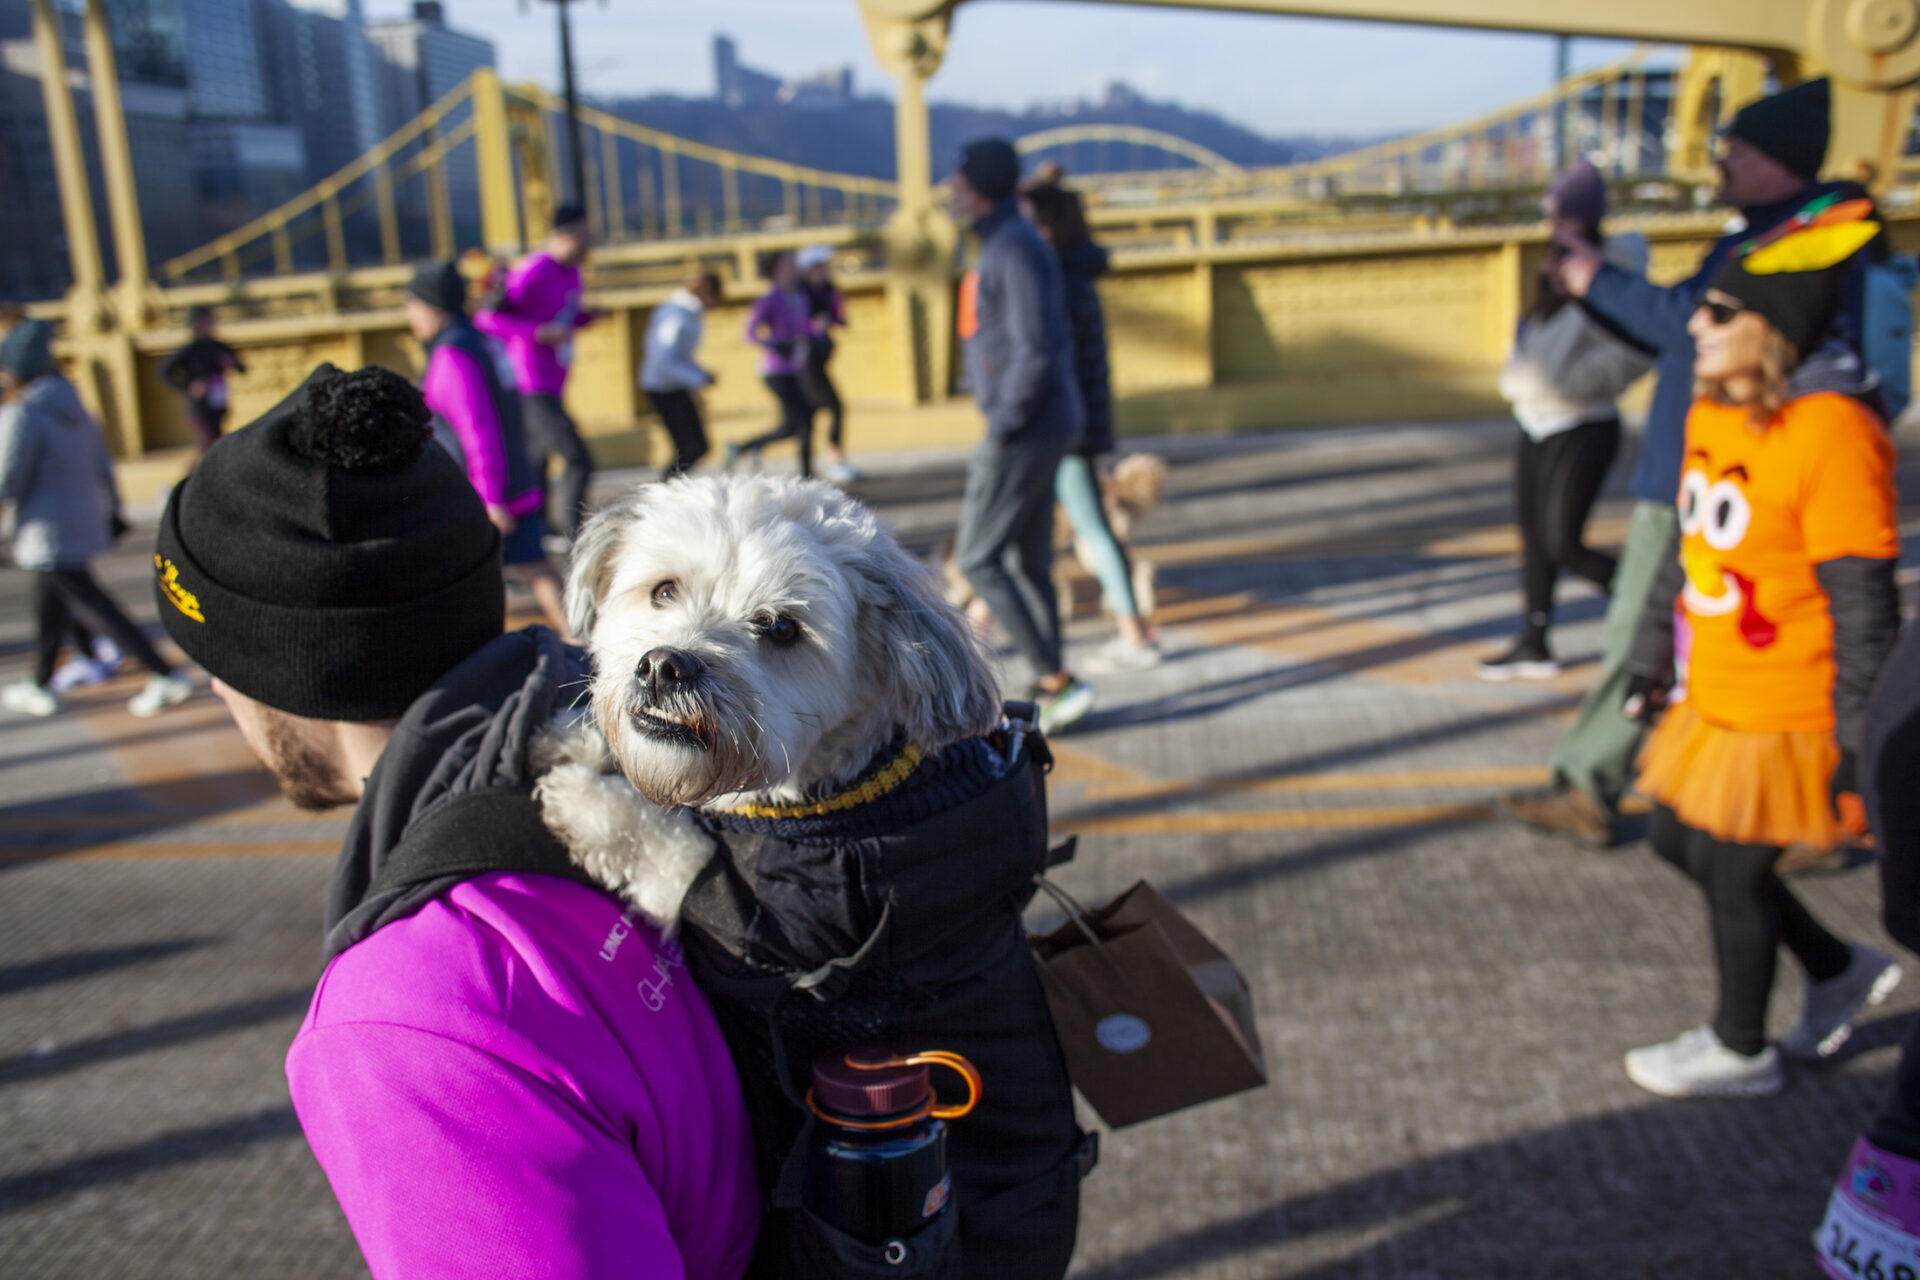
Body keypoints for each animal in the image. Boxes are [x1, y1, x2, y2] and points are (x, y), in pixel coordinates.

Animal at [533, 475, 998, 924]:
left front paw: (583, 798)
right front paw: (575, 739)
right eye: (663, 592)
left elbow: (669, 848)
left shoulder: (749, 913)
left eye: (781, 628)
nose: (663, 668)